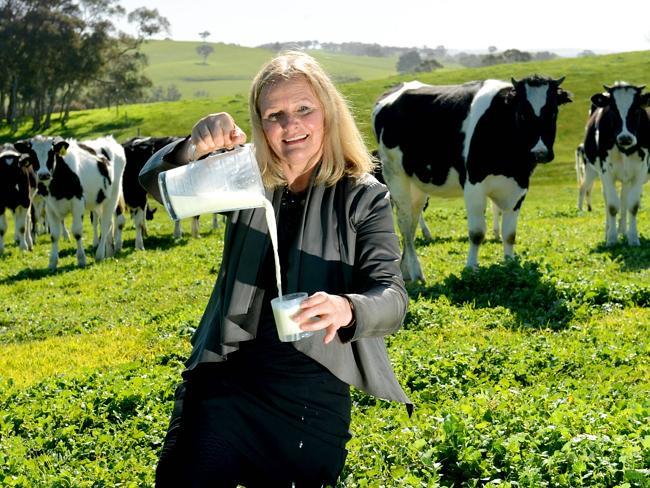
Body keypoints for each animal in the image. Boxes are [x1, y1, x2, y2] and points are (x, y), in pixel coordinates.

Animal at [13, 135, 124, 268]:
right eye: (33, 154)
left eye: (52, 153)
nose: (44, 175)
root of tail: (109, 139)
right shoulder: (50, 206)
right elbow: (54, 234)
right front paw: (52, 262)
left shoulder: (78, 203)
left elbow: (77, 232)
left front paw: (81, 259)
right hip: (98, 200)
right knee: (108, 223)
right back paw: (109, 252)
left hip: (113, 195)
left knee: (105, 224)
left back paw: (100, 254)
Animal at [372, 74, 568, 280]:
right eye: (522, 113)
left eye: (553, 112)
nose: (540, 153)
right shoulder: (474, 184)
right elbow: (477, 233)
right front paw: (471, 269)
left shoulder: (519, 187)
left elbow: (510, 234)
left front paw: (510, 265)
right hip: (394, 174)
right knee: (404, 222)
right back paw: (417, 273)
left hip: (417, 183)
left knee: (412, 222)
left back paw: (405, 272)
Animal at [580, 82, 648, 248]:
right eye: (612, 110)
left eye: (637, 109)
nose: (625, 138)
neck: (625, 149)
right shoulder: (606, 172)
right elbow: (611, 206)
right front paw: (611, 239)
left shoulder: (640, 171)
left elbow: (632, 205)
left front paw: (633, 238)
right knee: (609, 199)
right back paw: (610, 231)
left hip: (626, 176)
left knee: (623, 199)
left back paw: (623, 231)